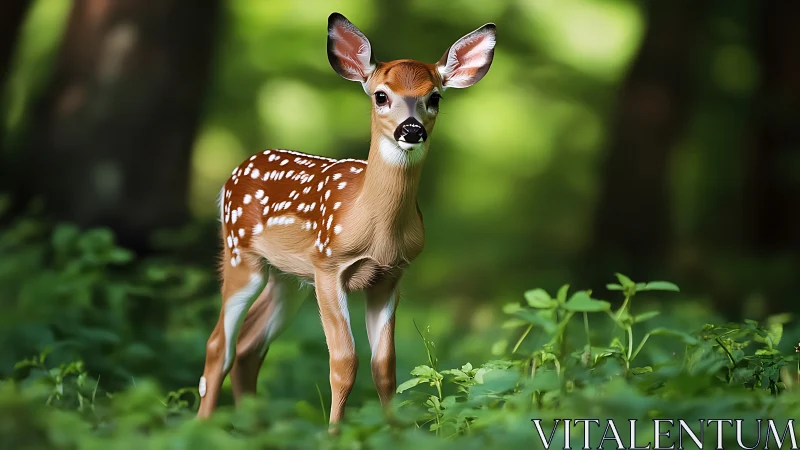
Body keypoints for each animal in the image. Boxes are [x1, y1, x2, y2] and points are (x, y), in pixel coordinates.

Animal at [196, 12, 496, 426]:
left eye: (435, 97)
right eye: (381, 95)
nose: (411, 130)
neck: (375, 226)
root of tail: (233, 174)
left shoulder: (390, 276)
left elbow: (385, 367)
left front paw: (394, 431)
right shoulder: (328, 266)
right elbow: (344, 363)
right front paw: (334, 432)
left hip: (288, 277)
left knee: (248, 346)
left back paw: (253, 429)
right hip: (242, 254)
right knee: (217, 345)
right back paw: (202, 427)